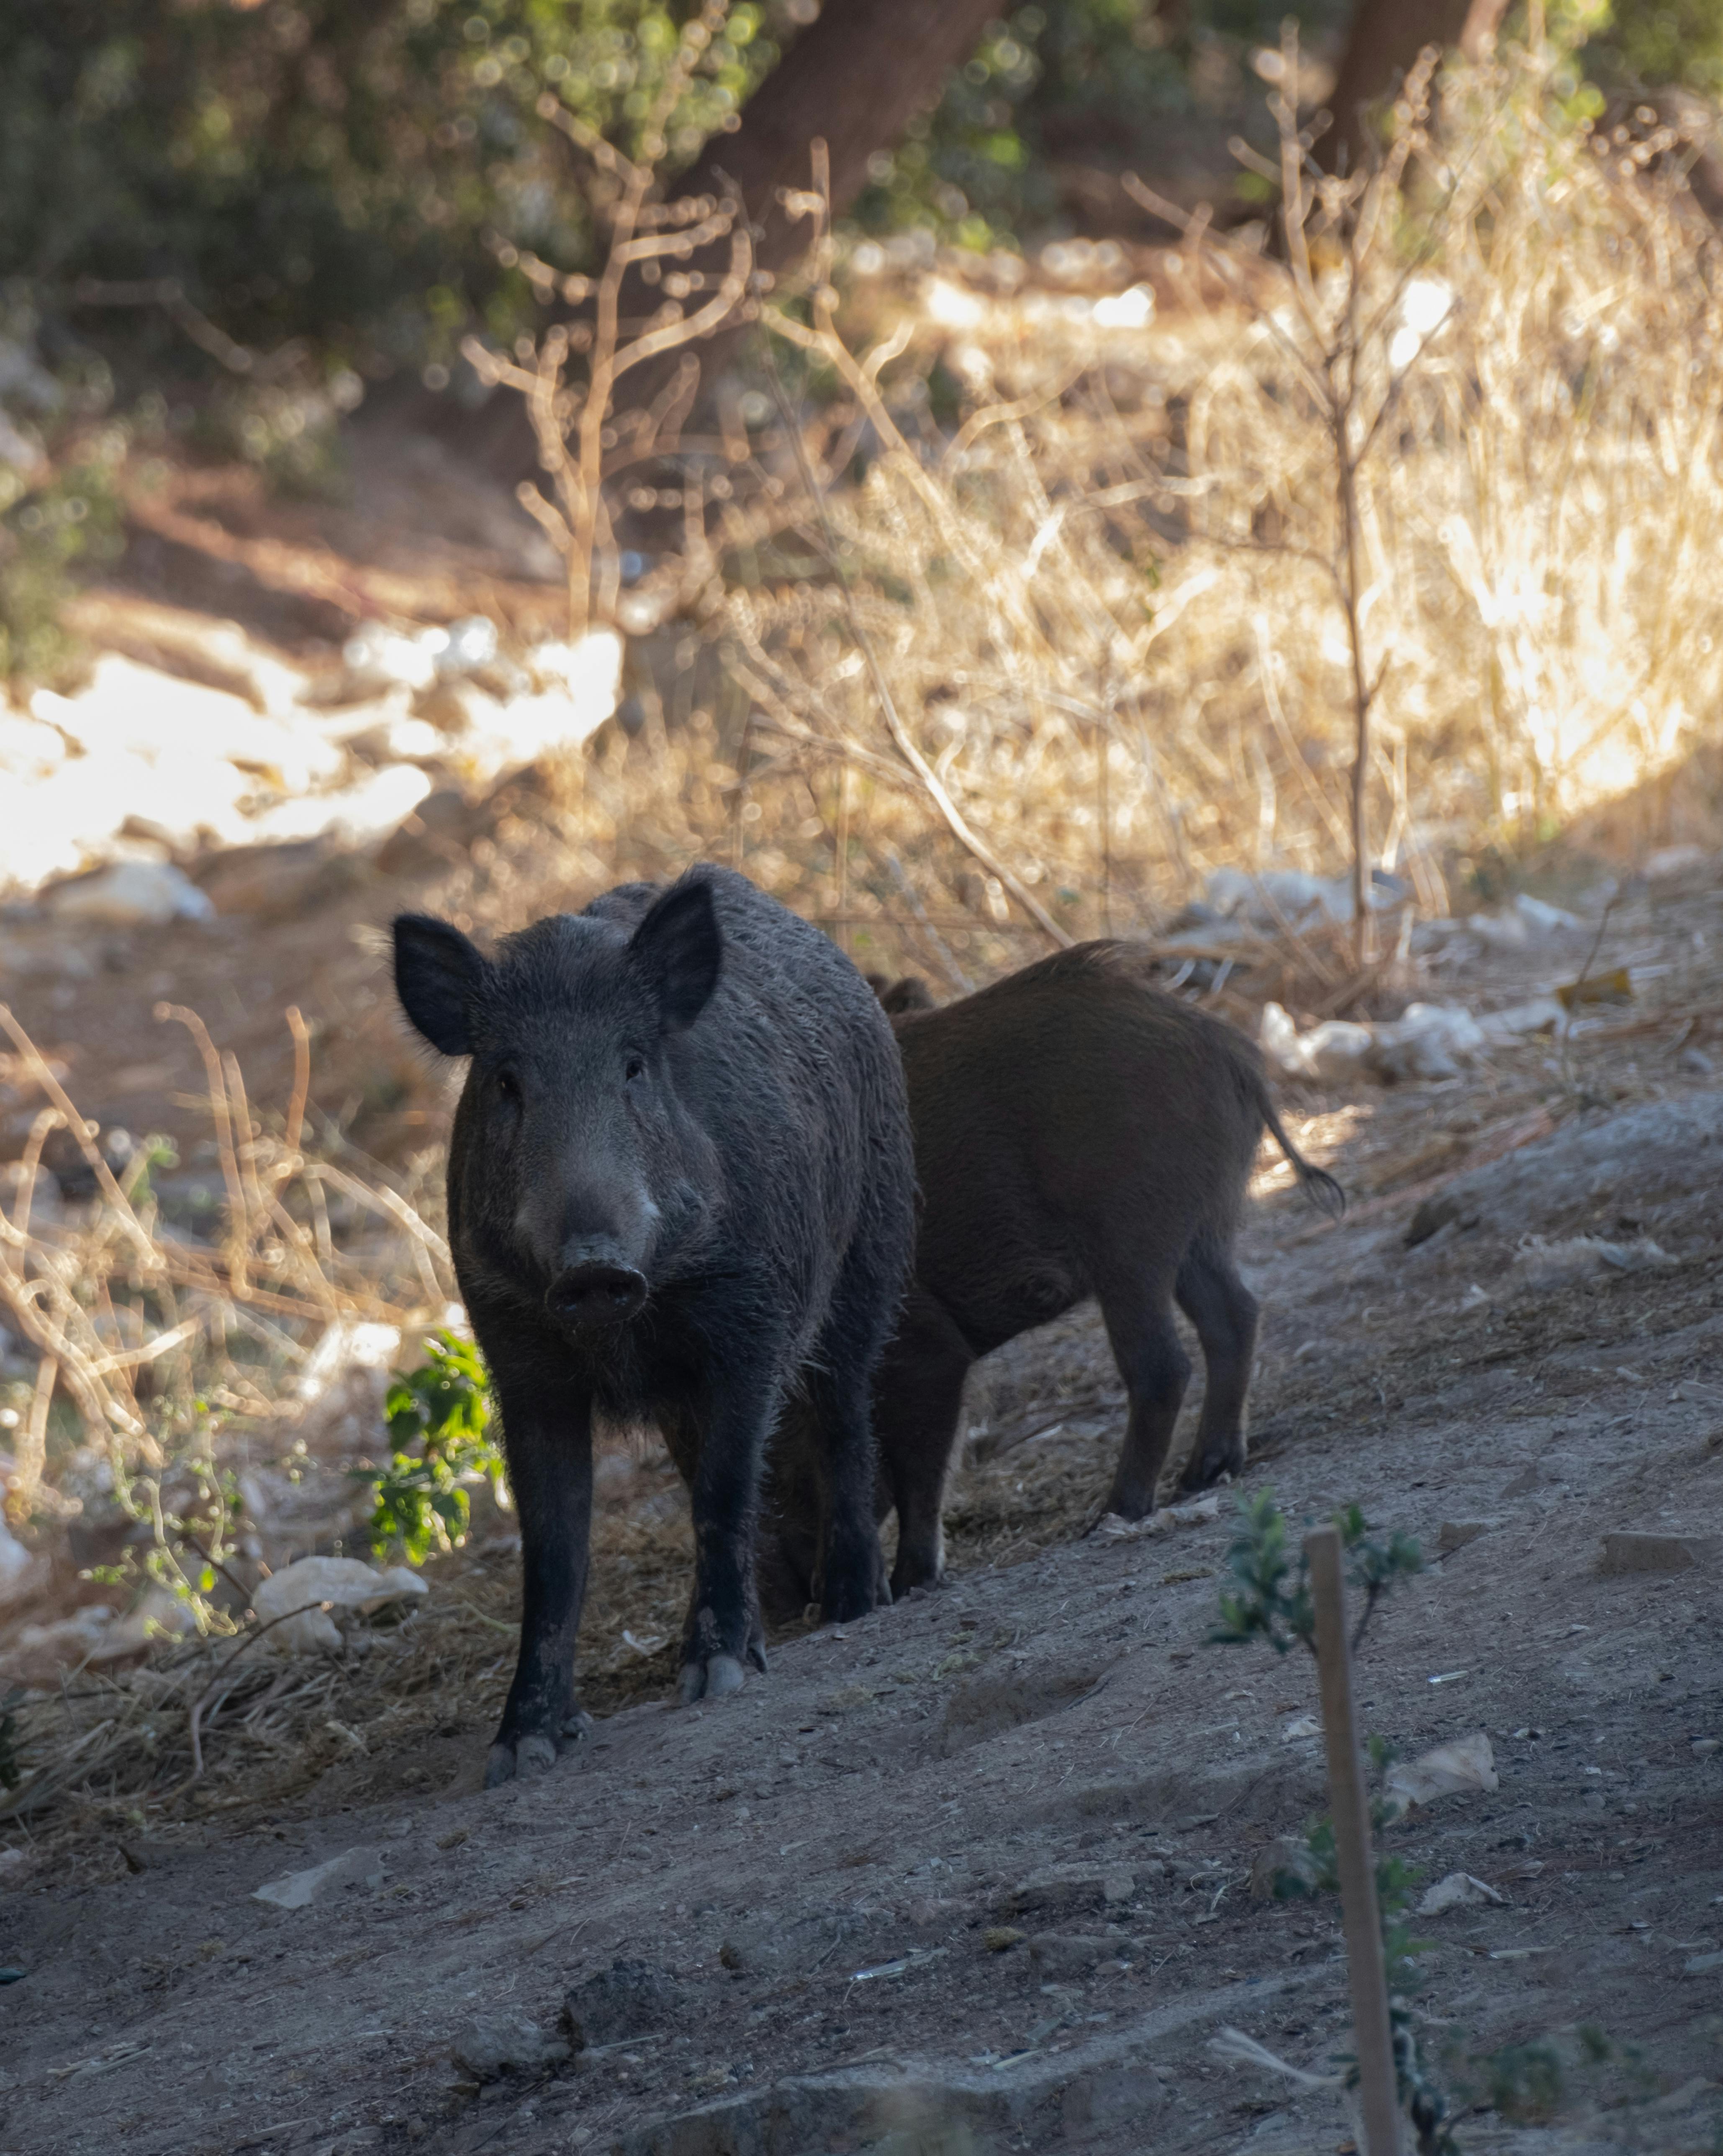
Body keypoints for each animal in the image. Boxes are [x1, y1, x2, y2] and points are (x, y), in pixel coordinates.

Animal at [393, 865, 916, 1784]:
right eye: (506, 1080)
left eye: (633, 1066)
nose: (593, 1267)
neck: (627, 1327)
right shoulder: (519, 1355)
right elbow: (554, 1551)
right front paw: (523, 1750)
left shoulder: (751, 1318)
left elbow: (727, 1487)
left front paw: (721, 1675)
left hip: (871, 1251)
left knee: (846, 1413)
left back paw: (852, 1603)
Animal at [763, 941, 1343, 1615]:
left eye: (779, 1472)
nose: (786, 1604)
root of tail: (1225, 1047)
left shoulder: (925, 1351)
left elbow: (921, 1472)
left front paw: (909, 1583)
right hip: (1199, 1232)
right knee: (1236, 1317)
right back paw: (1206, 1473)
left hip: (1130, 1240)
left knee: (1162, 1365)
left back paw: (1114, 1514)